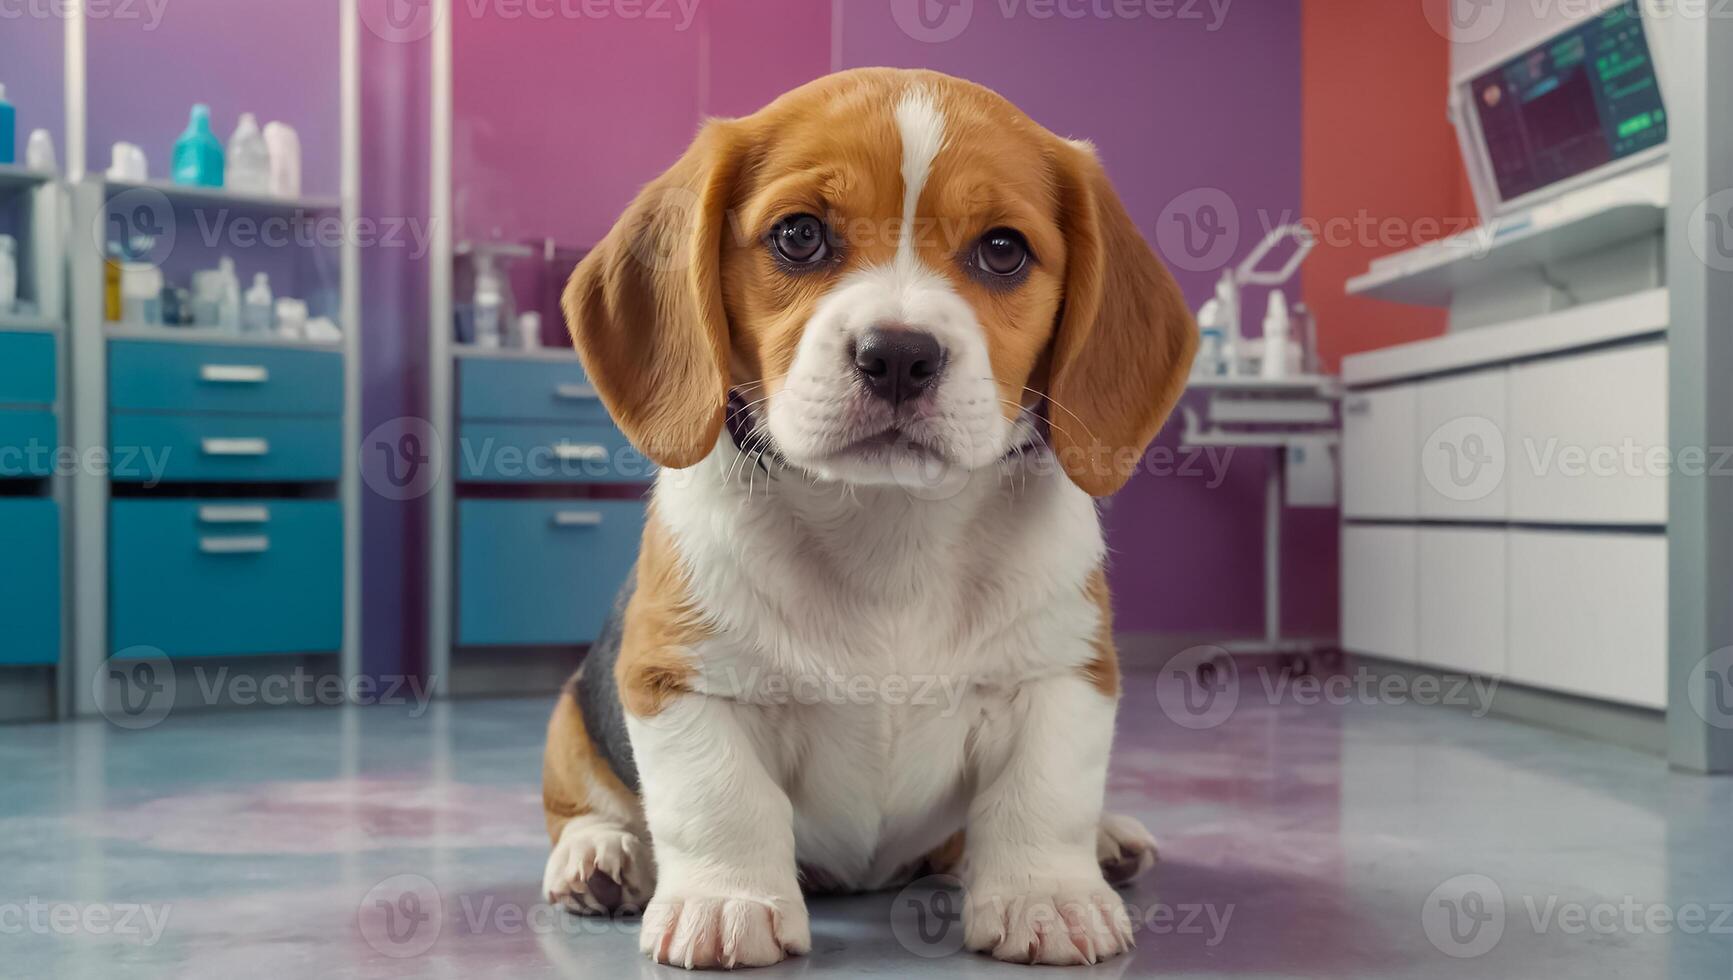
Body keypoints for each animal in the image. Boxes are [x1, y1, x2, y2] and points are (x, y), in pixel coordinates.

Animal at [540, 66, 1192, 964]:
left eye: (1002, 250)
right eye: (799, 236)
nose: (899, 355)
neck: (892, 524)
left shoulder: (1063, 671)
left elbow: (1044, 794)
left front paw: (1048, 895)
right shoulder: (677, 681)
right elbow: (719, 801)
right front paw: (726, 900)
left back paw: (1107, 839)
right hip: (570, 717)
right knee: (580, 805)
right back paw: (600, 855)